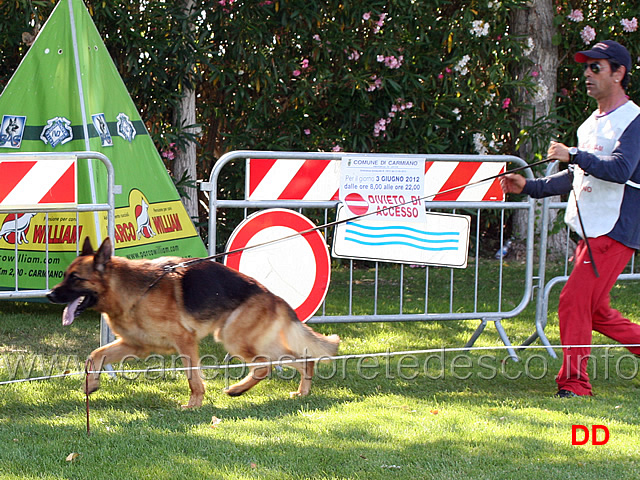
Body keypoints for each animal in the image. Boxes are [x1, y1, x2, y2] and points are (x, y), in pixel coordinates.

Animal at [46, 238, 340, 406]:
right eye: (64, 275)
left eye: (76, 278)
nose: (49, 295)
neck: (133, 290)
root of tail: (273, 296)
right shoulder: (135, 345)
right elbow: (95, 355)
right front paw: (90, 384)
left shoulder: (184, 341)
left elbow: (192, 377)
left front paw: (194, 405)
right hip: (256, 341)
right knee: (302, 359)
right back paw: (301, 393)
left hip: (233, 338)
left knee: (264, 366)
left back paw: (237, 390)